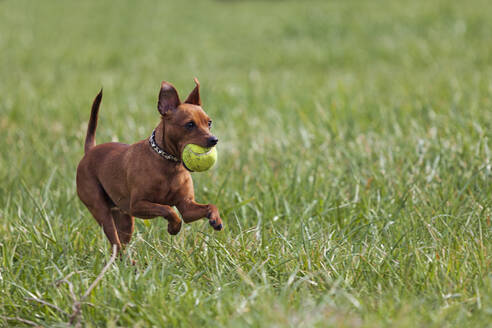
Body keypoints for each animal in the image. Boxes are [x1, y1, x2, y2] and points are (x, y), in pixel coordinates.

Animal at [76, 78, 224, 252]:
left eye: (209, 123)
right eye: (190, 125)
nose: (214, 140)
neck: (169, 164)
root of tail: (90, 151)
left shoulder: (187, 207)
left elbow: (210, 205)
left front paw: (215, 219)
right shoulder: (137, 205)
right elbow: (168, 209)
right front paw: (174, 227)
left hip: (125, 221)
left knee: (121, 244)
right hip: (102, 211)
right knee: (115, 241)